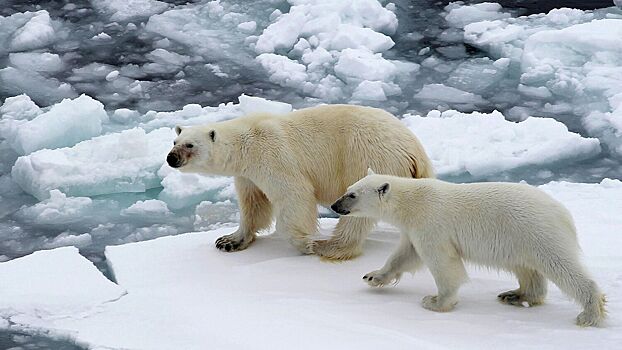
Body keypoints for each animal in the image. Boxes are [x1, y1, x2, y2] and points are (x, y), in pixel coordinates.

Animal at [168, 104, 436, 260]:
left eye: (190, 145)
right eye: (174, 141)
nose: (171, 158)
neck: (245, 142)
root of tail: (415, 150)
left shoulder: (272, 155)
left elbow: (294, 195)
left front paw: (306, 243)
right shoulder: (247, 174)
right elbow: (253, 204)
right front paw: (229, 241)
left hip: (369, 158)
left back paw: (330, 246)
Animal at [334, 174, 608, 326]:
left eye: (352, 195)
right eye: (347, 189)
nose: (335, 205)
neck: (411, 202)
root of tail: (563, 213)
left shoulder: (431, 223)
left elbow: (443, 263)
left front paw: (435, 301)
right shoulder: (414, 229)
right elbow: (405, 255)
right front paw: (372, 276)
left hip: (537, 232)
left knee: (561, 266)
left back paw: (589, 314)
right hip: (522, 239)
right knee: (527, 269)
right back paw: (515, 295)